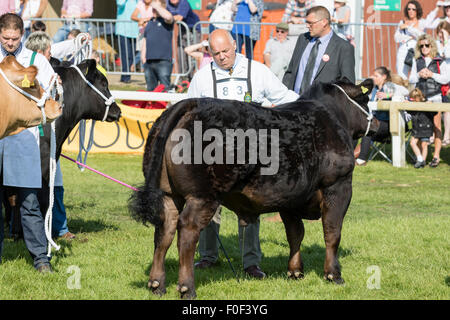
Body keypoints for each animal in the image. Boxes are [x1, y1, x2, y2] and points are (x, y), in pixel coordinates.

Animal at [130, 79, 380, 298]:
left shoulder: (290, 198)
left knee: (165, 230)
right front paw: (333, 274)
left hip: (168, 194)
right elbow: (332, 232)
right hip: (203, 195)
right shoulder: (338, 185)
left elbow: (295, 234)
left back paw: (156, 284)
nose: (378, 123)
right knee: (187, 230)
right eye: (366, 99)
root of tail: (190, 104)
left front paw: (295, 271)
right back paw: (187, 287)